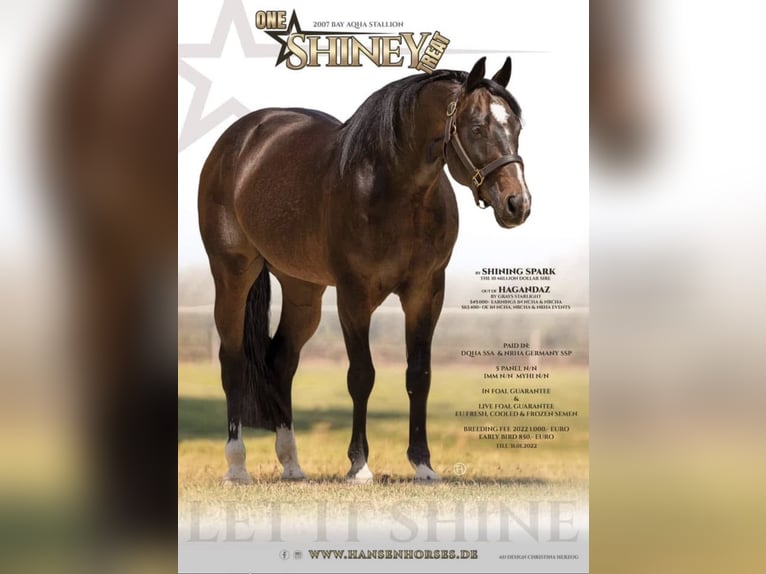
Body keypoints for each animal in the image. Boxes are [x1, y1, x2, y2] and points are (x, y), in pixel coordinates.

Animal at [198, 56, 531, 484]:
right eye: (476, 127)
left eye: (517, 127)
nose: (517, 204)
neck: (394, 191)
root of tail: (238, 140)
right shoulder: (354, 295)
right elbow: (361, 375)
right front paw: (359, 466)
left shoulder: (426, 292)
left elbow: (418, 375)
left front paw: (423, 465)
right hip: (233, 274)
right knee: (234, 360)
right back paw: (237, 465)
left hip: (303, 290)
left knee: (281, 361)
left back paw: (291, 463)